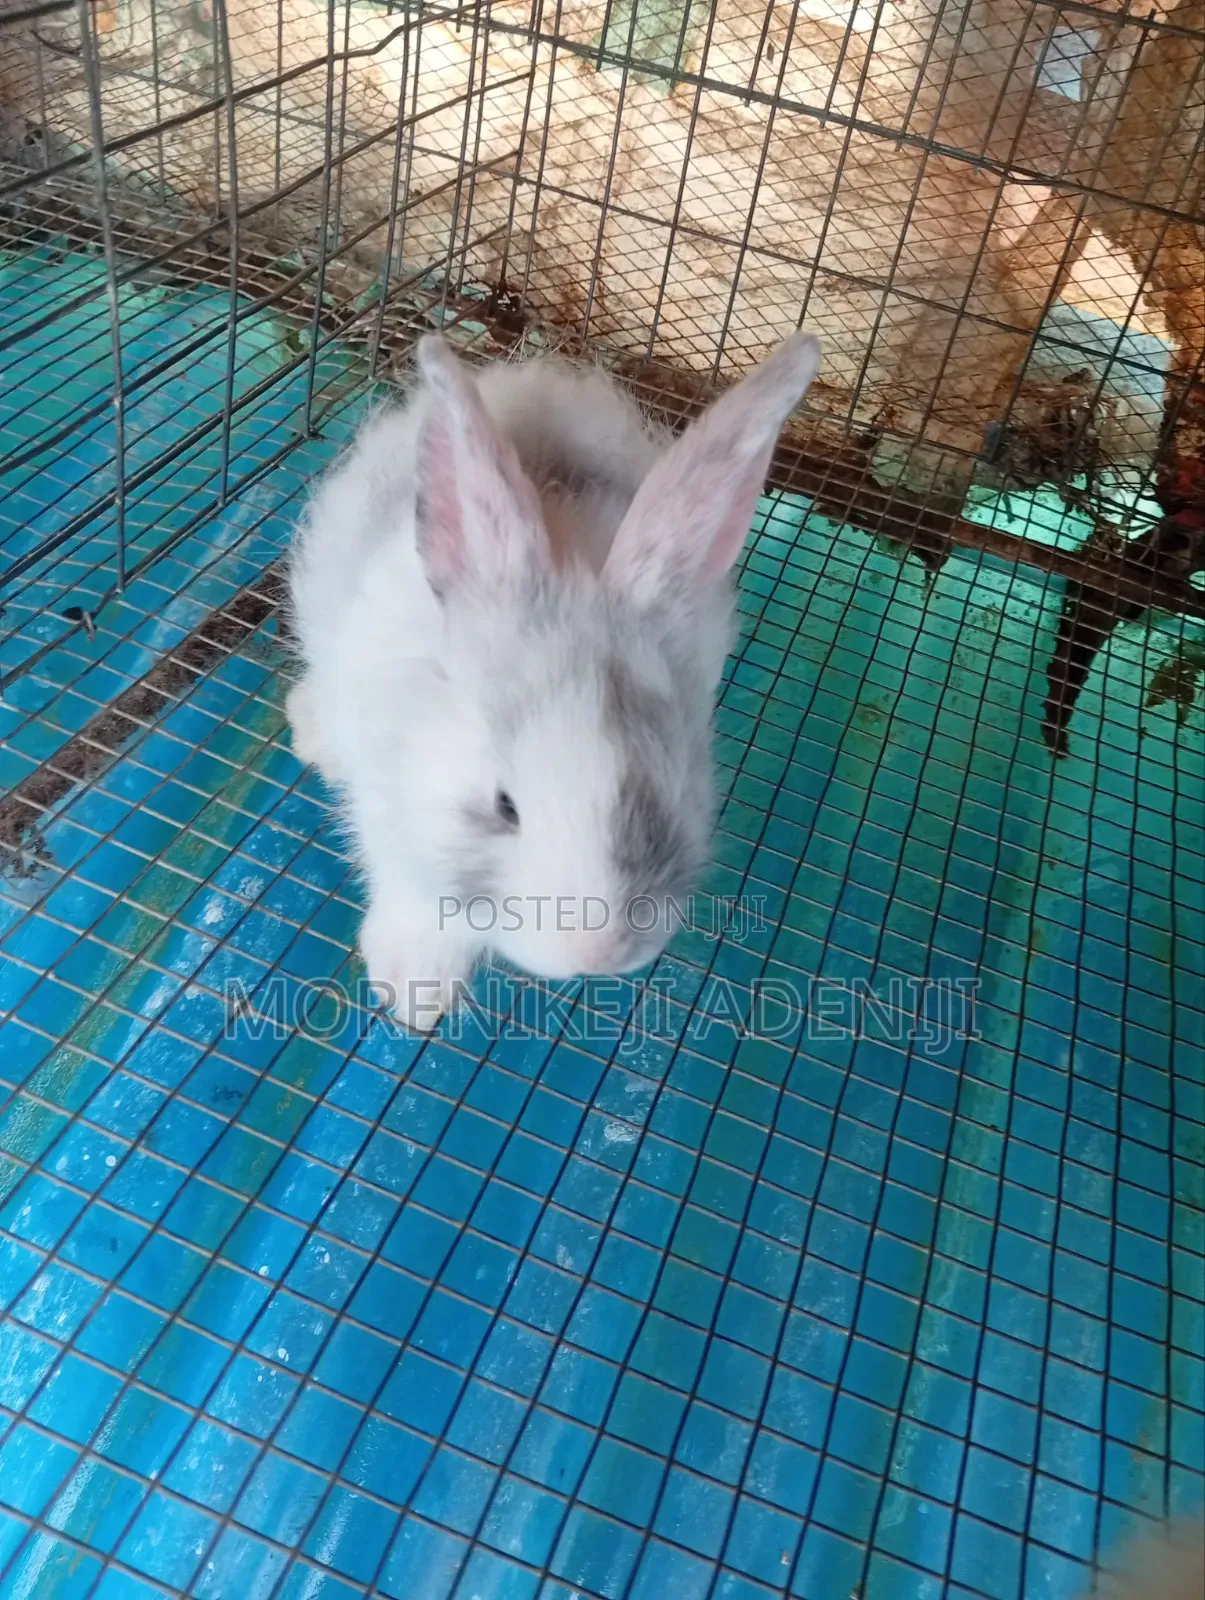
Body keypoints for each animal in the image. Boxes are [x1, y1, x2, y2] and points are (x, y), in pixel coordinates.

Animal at [287, 329, 822, 1030]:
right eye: (504, 807)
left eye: (663, 799)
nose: (596, 952)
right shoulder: (390, 815)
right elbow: (417, 900)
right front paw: (414, 996)